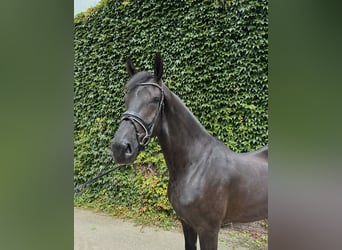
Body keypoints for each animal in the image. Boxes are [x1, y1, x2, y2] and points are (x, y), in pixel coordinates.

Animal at [112, 54, 268, 250]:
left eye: (155, 99)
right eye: (126, 98)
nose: (119, 148)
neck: (195, 165)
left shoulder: (209, 230)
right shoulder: (186, 223)